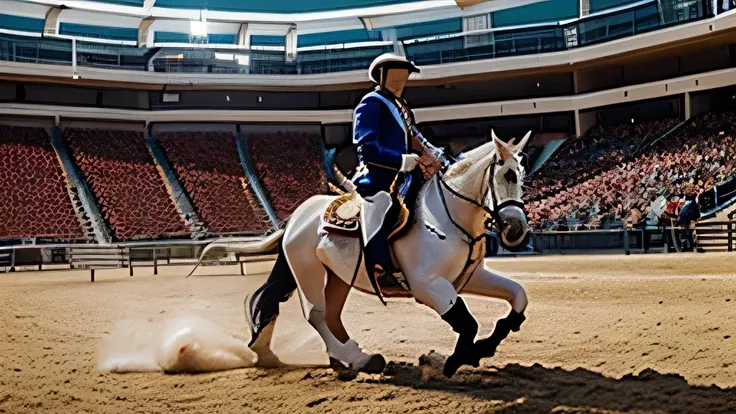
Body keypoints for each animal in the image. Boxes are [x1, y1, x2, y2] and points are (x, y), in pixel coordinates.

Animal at [246, 131, 528, 376]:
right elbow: (468, 323)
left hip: (339, 275)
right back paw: (354, 358)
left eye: (522, 175)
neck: (447, 217)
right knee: (316, 315)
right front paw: (457, 360)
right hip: (307, 271)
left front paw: (483, 348)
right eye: (508, 175)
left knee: (331, 315)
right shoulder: (427, 286)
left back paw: (354, 359)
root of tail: (296, 217)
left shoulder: (471, 277)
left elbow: (518, 296)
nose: (517, 229)